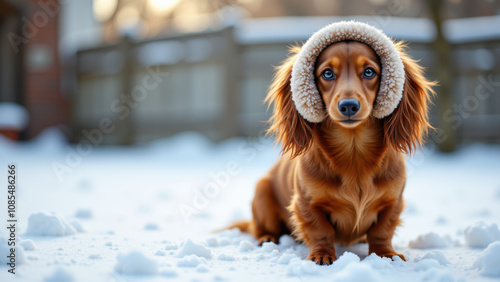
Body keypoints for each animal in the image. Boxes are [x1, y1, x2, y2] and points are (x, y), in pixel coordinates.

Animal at [229, 38, 434, 266]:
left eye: (369, 72)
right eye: (327, 73)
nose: (348, 106)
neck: (354, 153)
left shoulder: (393, 202)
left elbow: (382, 230)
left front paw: (385, 254)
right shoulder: (306, 203)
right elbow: (320, 230)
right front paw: (322, 255)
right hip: (263, 193)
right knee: (261, 229)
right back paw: (267, 238)